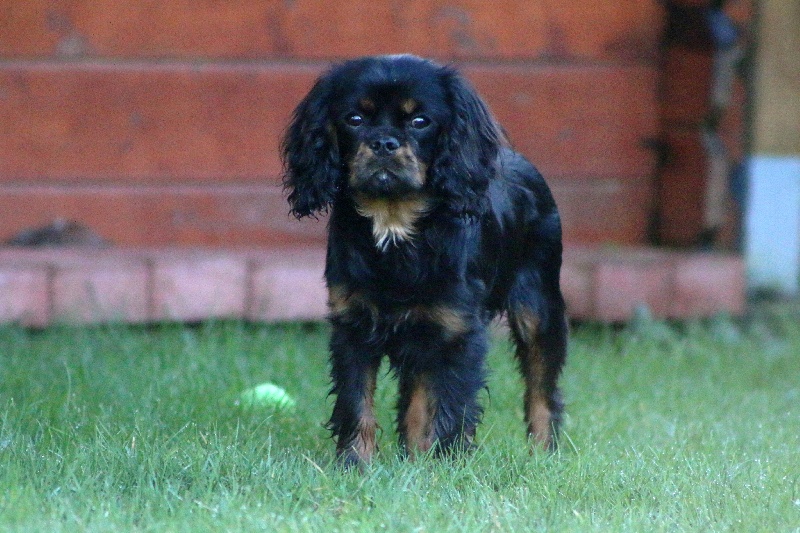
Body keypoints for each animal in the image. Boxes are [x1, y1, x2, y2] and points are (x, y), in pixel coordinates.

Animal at [282, 54, 568, 468]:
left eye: (420, 121)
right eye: (355, 119)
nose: (384, 143)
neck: (395, 223)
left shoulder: (457, 331)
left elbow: (448, 406)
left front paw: (444, 466)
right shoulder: (353, 327)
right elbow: (358, 403)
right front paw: (355, 465)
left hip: (539, 308)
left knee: (541, 392)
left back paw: (543, 456)